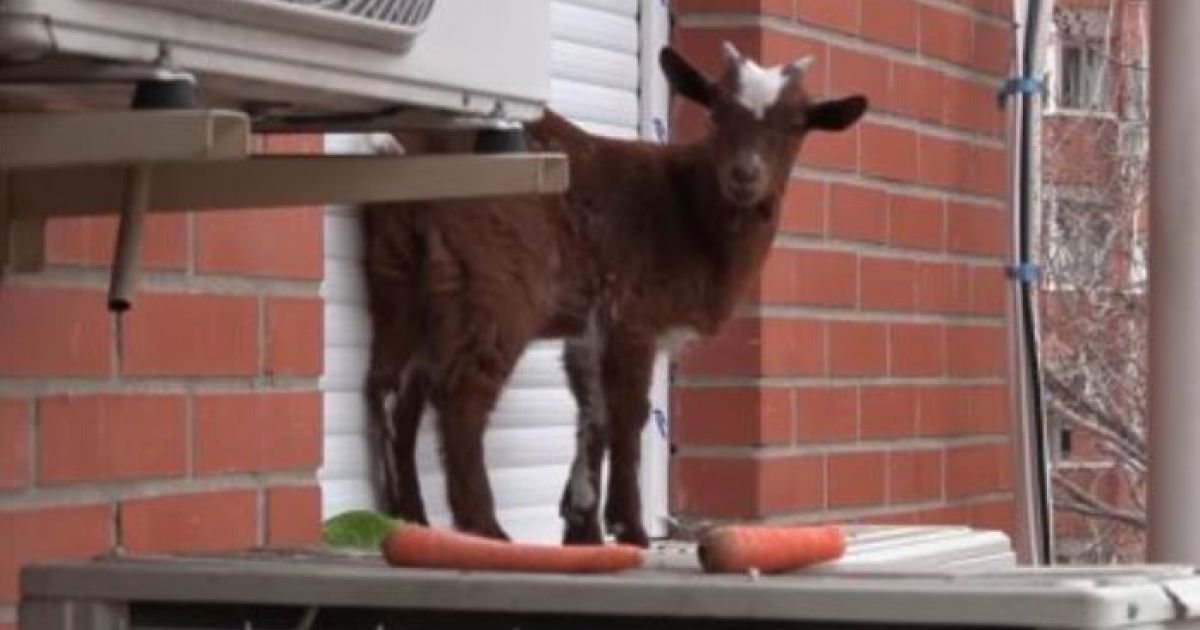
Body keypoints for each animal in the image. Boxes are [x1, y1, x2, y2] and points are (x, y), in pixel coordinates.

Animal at [362, 43, 867, 546]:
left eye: (796, 124)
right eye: (716, 111)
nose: (745, 175)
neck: (688, 210)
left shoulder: (592, 324)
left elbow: (593, 410)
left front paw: (581, 525)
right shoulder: (632, 314)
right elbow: (629, 412)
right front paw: (629, 528)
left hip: (399, 272)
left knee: (390, 386)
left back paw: (408, 519)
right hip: (498, 277)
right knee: (463, 388)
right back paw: (484, 527)